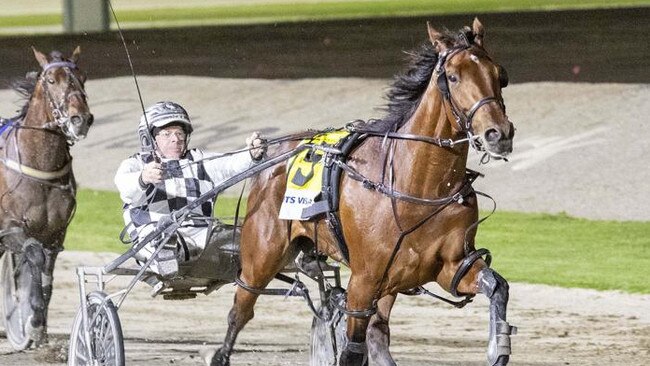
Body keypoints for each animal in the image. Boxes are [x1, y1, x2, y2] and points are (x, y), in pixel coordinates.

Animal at [0, 47, 93, 350]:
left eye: (82, 77)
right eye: (51, 80)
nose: (80, 119)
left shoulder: (55, 234)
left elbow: (46, 276)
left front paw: (37, 326)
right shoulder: (10, 230)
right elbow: (33, 255)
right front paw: (32, 318)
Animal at [210, 19, 512, 366]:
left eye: (500, 74)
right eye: (453, 77)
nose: (498, 133)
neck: (418, 187)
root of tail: (272, 154)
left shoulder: (449, 266)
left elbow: (497, 286)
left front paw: (498, 346)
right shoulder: (364, 281)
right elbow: (353, 348)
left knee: (378, 334)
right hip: (262, 255)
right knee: (240, 310)